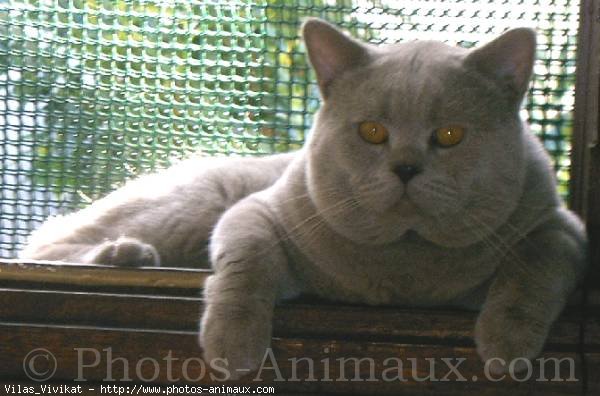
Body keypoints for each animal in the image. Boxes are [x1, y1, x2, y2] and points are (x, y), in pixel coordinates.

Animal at [22, 17, 584, 378]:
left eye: (449, 135)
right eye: (372, 131)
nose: (405, 168)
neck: (401, 264)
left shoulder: (561, 227)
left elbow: (536, 260)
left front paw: (507, 348)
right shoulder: (256, 211)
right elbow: (246, 263)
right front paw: (234, 347)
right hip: (198, 201)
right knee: (46, 246)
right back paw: (127, 255)